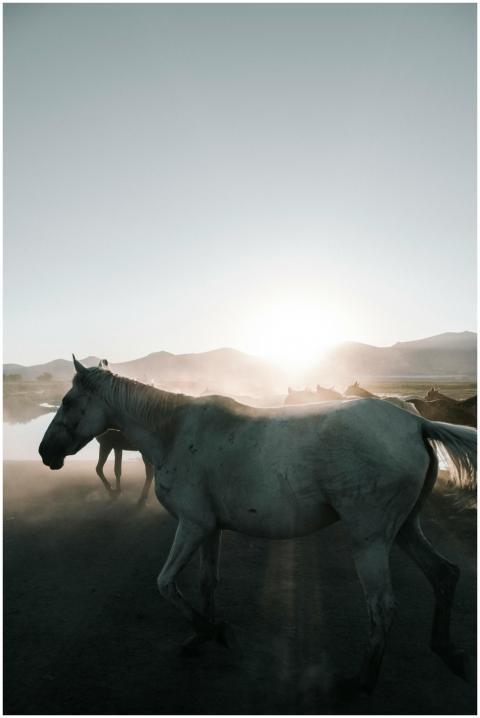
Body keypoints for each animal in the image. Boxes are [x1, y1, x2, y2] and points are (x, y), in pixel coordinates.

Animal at [39, 357, 476, 696]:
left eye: (68, 401)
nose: (45, 452)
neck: (175, 431)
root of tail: (414, 424)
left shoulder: (192, 526)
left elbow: (165, 583)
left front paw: (214, 631)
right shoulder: (209, 528)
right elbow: (206, 583)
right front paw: (201, 635)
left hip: (368, 539)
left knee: (382, 605)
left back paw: (363, 680)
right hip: (403, 530)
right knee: (444, 574)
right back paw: (448, 651)